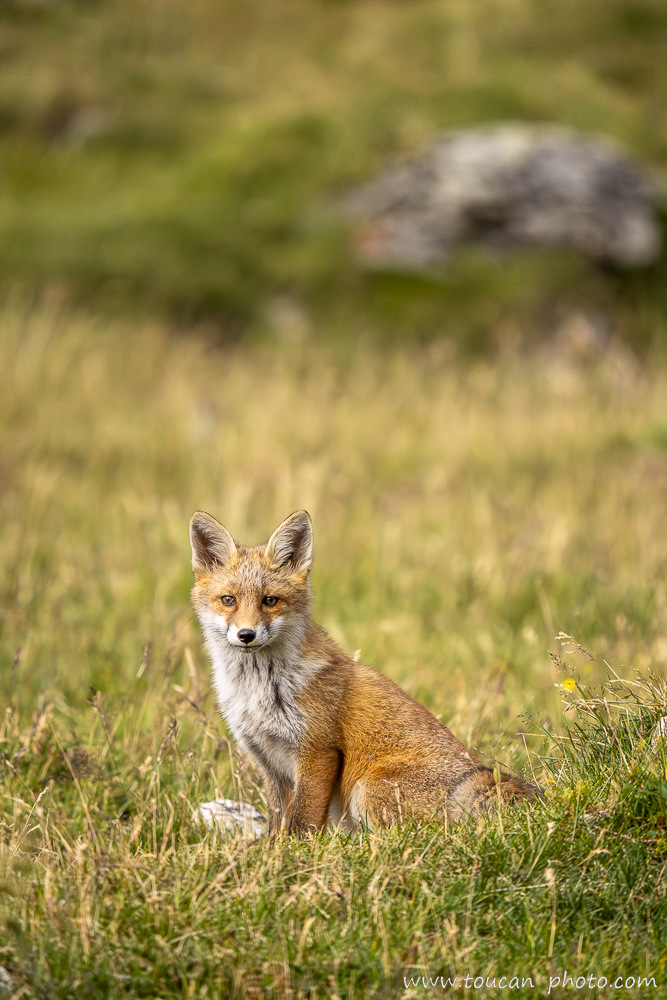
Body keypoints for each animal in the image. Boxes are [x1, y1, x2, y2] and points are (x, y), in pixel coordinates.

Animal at [189, 509, 540, 835]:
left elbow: (302, 823)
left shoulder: (317, 751)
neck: (258, 690)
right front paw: (272, 854)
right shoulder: (268, 761)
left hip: (365, 789)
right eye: (228, 600)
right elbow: (278, 823)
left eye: (270, 601)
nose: (246, 635)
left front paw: (296, 855)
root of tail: (476, 774)